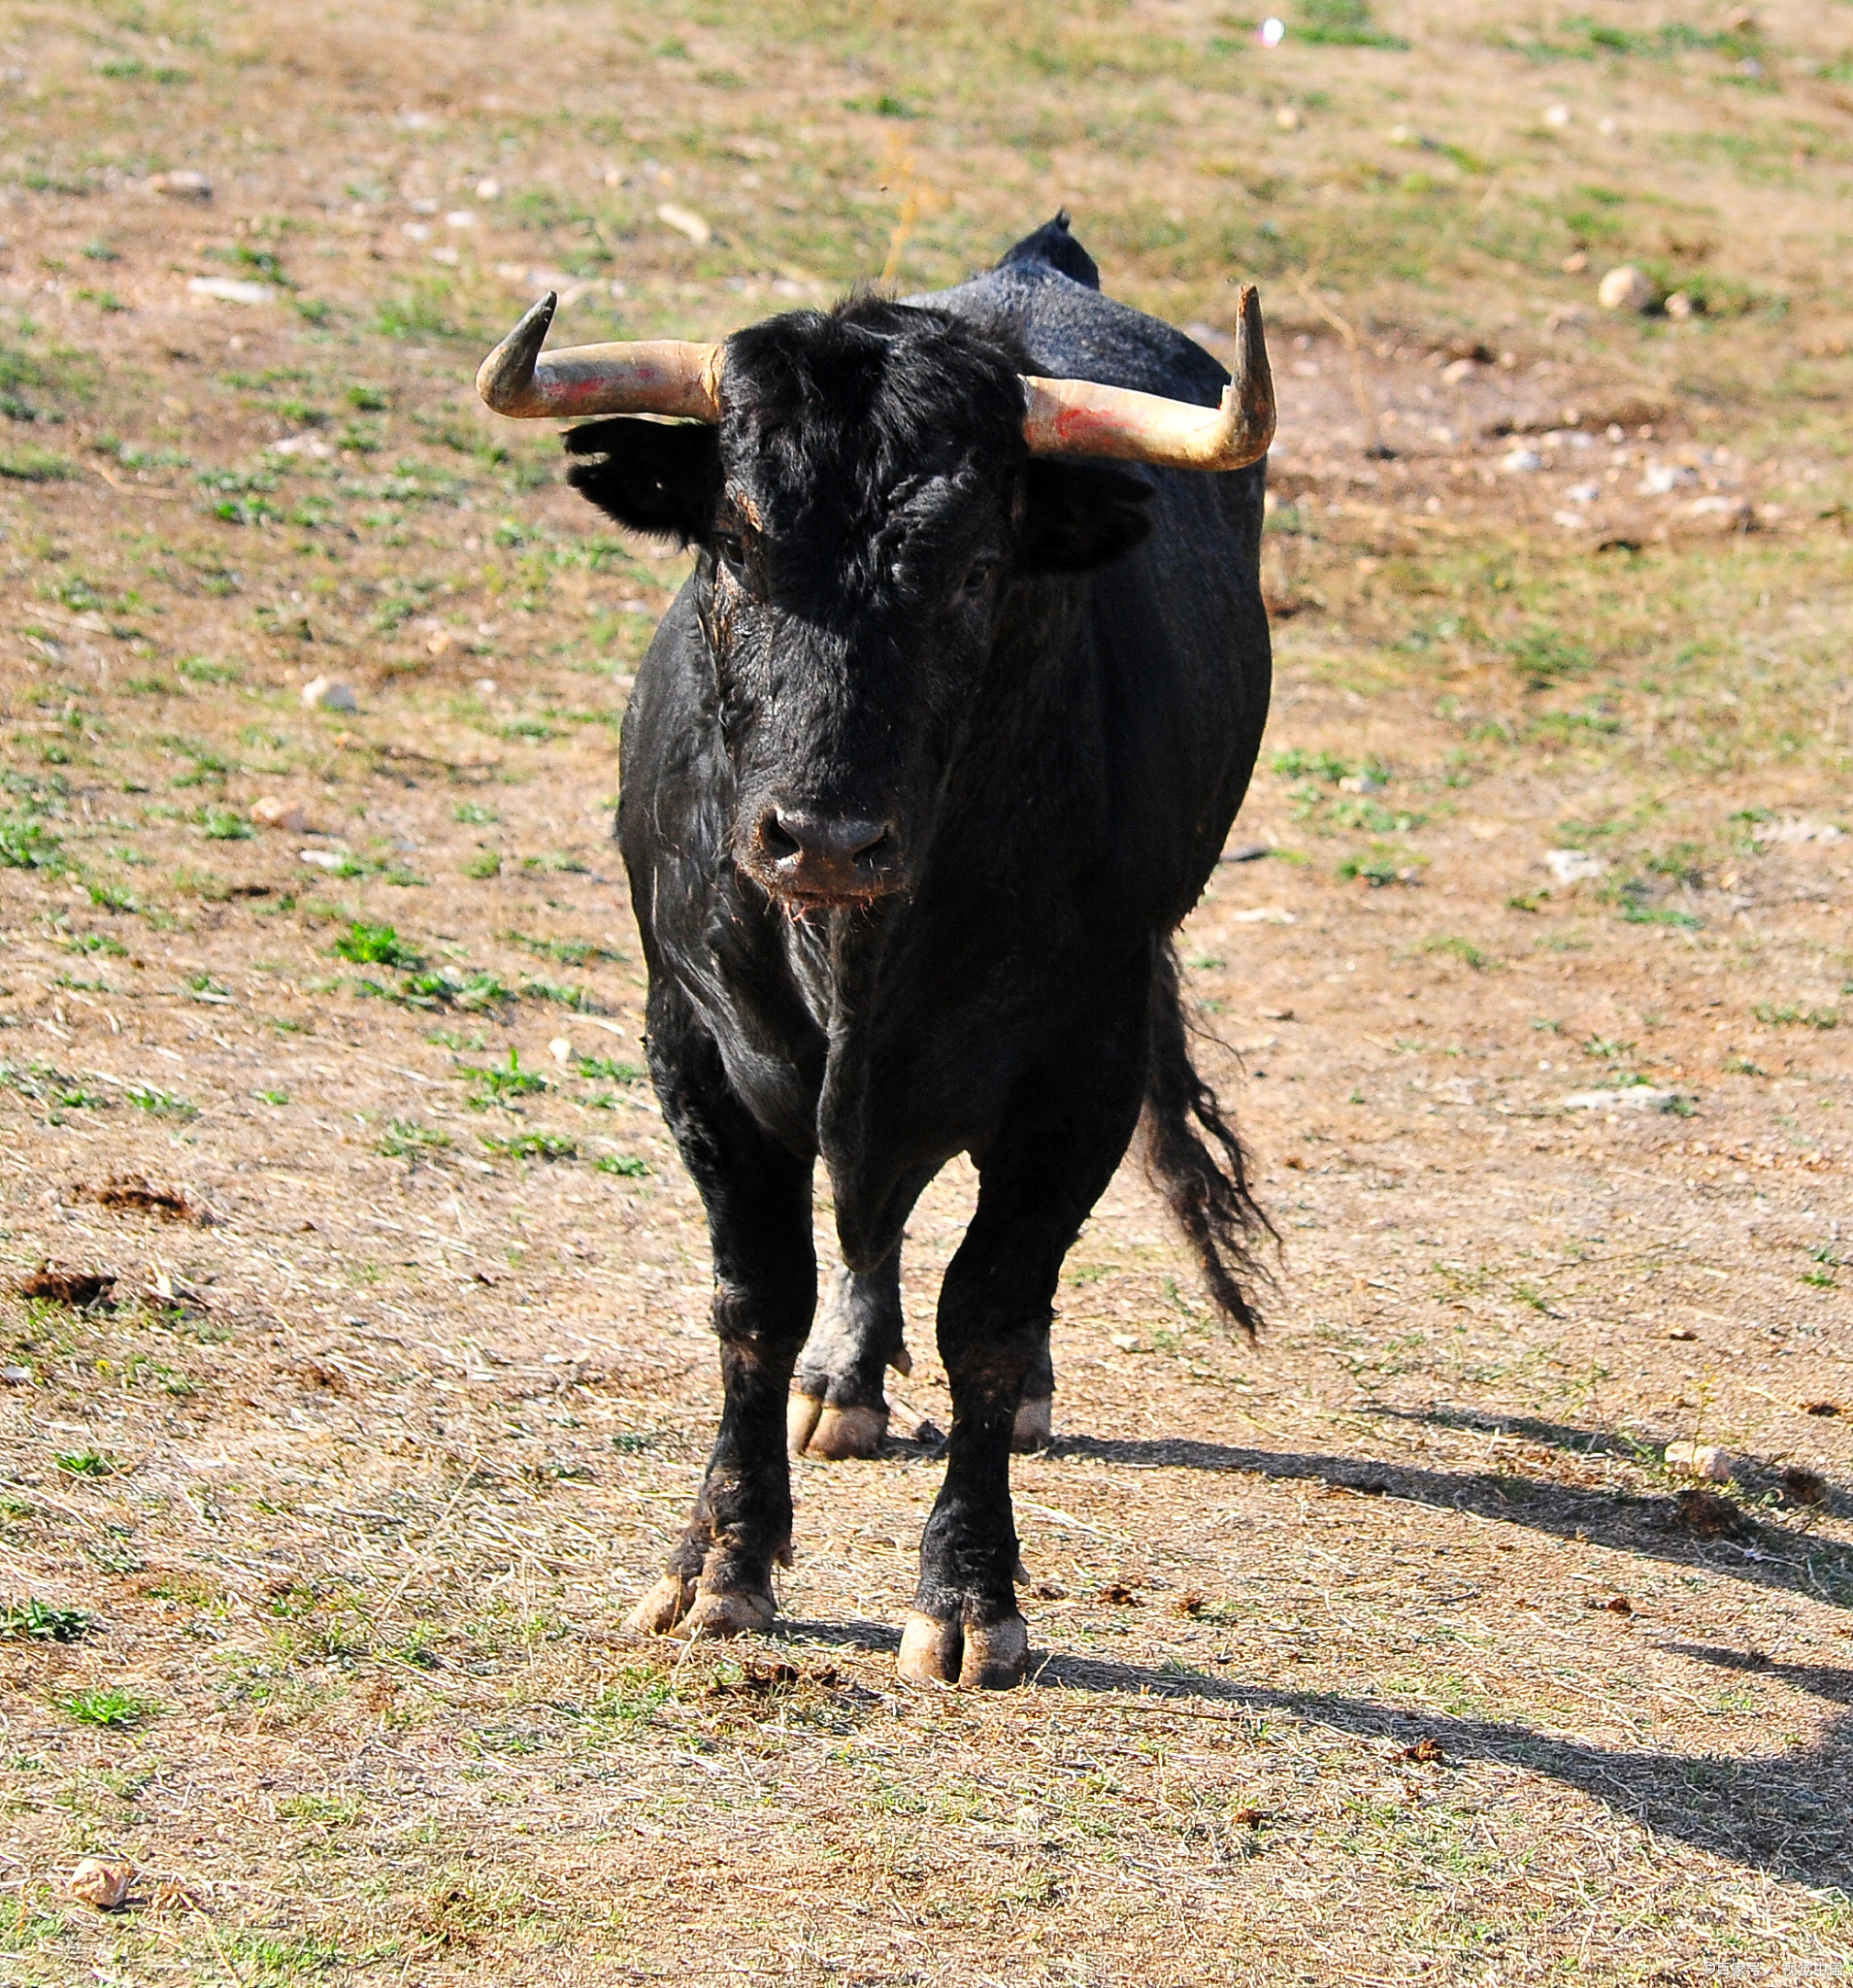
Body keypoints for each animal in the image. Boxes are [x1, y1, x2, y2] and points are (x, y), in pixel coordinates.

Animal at [560, 214, 1272, 1677]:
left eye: (975, 572)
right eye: (731, 543)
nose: (824, 837)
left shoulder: (1080, 1062)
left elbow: (989, 1313)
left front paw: (969, 1597)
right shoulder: (690, 1042)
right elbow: (754, 1298)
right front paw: (718, 1562)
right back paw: (843, 1380)